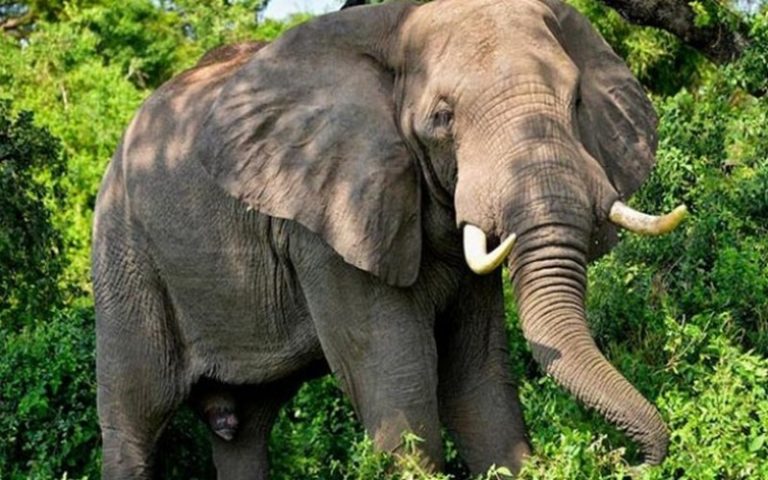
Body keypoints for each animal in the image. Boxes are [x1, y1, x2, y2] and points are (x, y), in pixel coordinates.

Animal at [91, 0, 688, 478]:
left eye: (577, 101)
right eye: (443, 118)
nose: (630, 461)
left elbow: (476, 381)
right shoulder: (329, 220)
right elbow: (399, 384)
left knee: (246, 430)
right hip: (124, 252)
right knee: (135, 416)